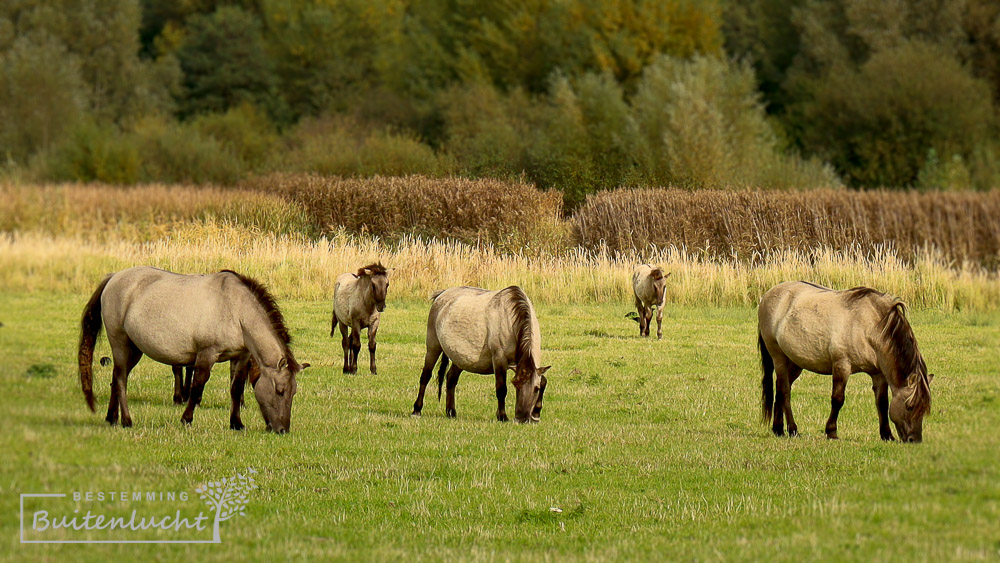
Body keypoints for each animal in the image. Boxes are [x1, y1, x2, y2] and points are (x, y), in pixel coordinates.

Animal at [78, 266, 308, 434]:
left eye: (294, 392)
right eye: (280, 391)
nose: (282, 429)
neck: (236, 309)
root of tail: (114, 277)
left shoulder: (241, 357)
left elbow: (236, 389)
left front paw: (236, 423)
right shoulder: (207, 354)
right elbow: (198, 385)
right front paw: (186, 419)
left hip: (134, 349)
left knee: (117, 377)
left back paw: (112, 418)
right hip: (120, 343)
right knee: (120, 380)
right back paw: (126, 420)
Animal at [414, 286, 556, 424]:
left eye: (536, 388)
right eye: (516, 384)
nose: (522, 418)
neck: (510, 320)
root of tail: (441, 294)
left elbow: (544, 380)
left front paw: (536, 414)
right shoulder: (499, 359)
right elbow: (501, 388)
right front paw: (502, 416)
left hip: (460, 358)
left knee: (451, 379)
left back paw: (451, 412)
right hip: (433, 347)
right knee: (425, 376)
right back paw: (417, 410)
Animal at [760, 280, 932, 442]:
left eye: (923, 410)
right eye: (910, 406)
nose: (914, 440)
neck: (870, 324)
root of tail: (767, 295)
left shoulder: (878, 374)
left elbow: (882, 403)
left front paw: (887, 435)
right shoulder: (841, 366)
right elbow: (837, 399)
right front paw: (831, 432)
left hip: (795, 363)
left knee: (781, 389)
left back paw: (778, 429)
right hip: (779, 358)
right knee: (784, 390)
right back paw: (792, 429)